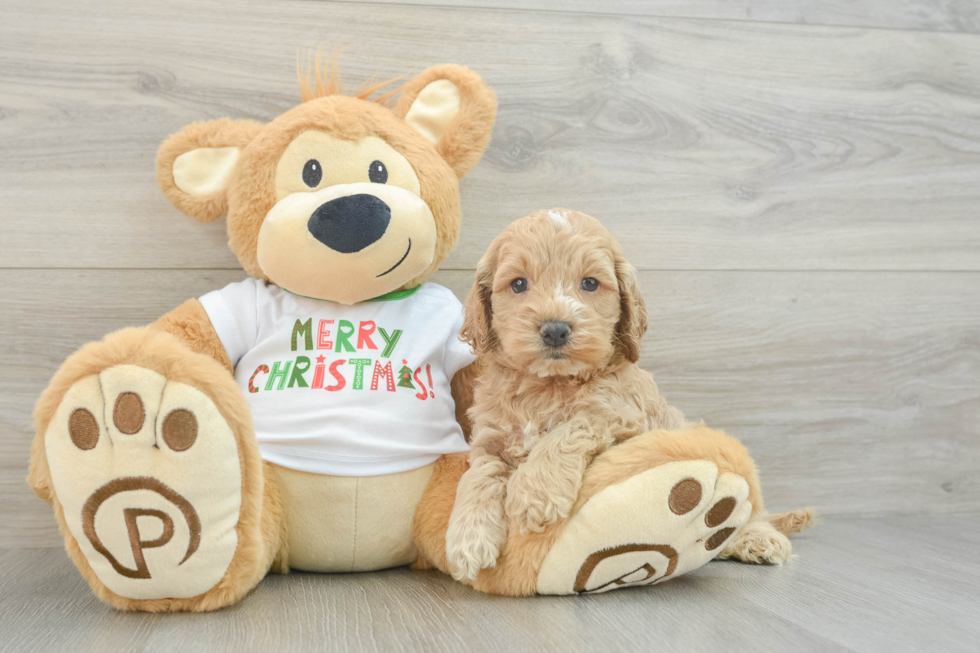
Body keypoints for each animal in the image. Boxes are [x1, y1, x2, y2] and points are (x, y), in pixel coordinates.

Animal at [448, 210, 800, 580]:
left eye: (590, 283)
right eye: (518, 284)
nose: (555, 329)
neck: (550, 384)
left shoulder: (625, 419)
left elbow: (575, 426)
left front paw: (535, 490)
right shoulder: (490, 438)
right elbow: (479, 475)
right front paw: (468, 538)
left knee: (749, 511)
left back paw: (757, 538)